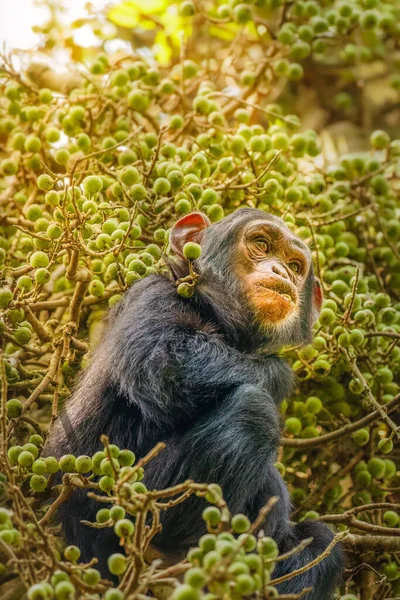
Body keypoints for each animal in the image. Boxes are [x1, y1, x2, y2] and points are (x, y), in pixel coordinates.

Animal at [44, 209, 344, 596]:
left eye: (295, 265)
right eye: (261, 244)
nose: (280, 271)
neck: (219, 316)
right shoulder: (153, 295)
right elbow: (165, 359)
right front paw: (278, 371)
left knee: (322, 542)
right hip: (124, 503)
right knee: (252, 411)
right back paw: (171, 553)